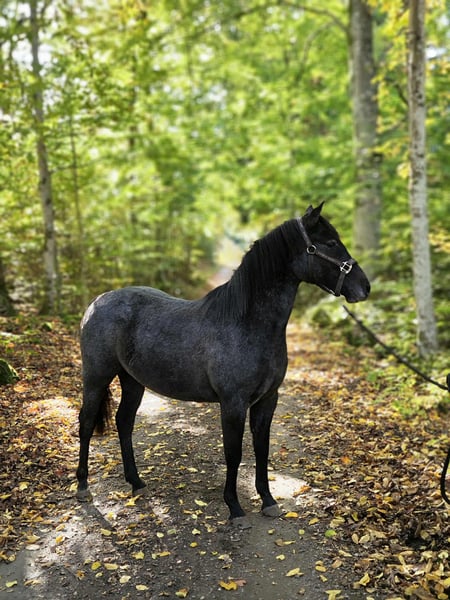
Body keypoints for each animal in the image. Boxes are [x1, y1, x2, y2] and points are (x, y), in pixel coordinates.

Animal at [76, 203, 370, 527]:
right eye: (329, 244)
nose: (364, 287)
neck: (246, 324)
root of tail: (96, 303)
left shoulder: (268, 400)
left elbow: (262, 449)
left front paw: (267, 500)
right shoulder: (233, 403)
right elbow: (234, 453)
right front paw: (235, 508)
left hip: (132, 381)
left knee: (124, 422)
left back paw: (136, 482)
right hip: (96, 377)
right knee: (86, 422)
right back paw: (83, 487)